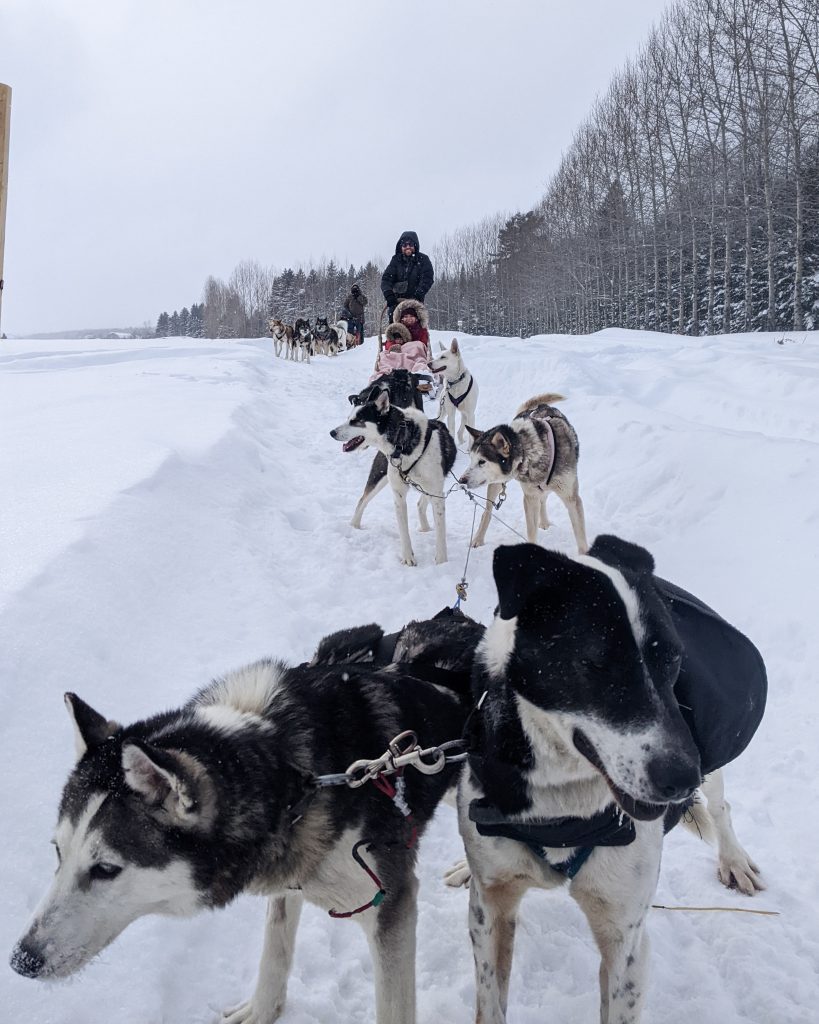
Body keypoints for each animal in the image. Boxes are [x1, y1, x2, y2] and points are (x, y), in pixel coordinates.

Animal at [11, 606, 487, 1024]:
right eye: (58, 852)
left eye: (106, 868)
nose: (21, 960)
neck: (288, 770)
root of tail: (468, 624)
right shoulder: (292, 871)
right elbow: (274, 951)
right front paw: (261, 1012)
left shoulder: (392, 906)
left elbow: (393, 1006)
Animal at [333, 389, 460, 569]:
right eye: (348, 418)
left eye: (356, 421)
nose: (332, 432)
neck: (402, 444)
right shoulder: (399, 496)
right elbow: (403, 531)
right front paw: (408, 558)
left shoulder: (437, 494)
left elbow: (441, 532)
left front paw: (442, 562)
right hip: (379, 476)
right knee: (362, 500)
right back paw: (354, 527)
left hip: (431, 487)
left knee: (421, 504)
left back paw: (425, 528)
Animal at [456, 540, 765, 1019]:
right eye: (596, 663)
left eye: (673, 658)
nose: (681, 779)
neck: (561, 806)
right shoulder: (489, 910)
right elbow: (489, 1004)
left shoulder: (626, 940)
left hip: (713, 769)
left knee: (720, 807)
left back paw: (734, 860)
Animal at [460, 391, 589, 552]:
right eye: (471, 459)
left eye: (482, 461)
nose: (461, 480)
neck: (530, 450)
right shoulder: (530, 497)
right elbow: (531, 531)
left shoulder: (571, 498)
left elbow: (581, 539)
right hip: (497, 483)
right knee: (487, 512)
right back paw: (478, 538)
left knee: (543, 498)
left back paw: (544, 522)